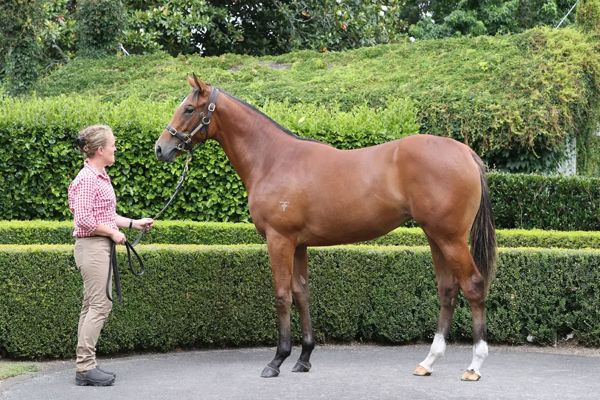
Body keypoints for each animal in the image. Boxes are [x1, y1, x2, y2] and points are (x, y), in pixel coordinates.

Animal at [155, 75, 497, 382]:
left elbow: (282, 295)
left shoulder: (279, 240)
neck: (273, 159)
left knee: (473, 285)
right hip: (435, 236)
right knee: (448, 290)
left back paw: (474, 366)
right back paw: (428, 362)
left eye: (188, 108)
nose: (161, 148)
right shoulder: (298, 244)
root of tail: (465, 152)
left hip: (450, 238)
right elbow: (302, 293)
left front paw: (277, 360)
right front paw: (303, 358)